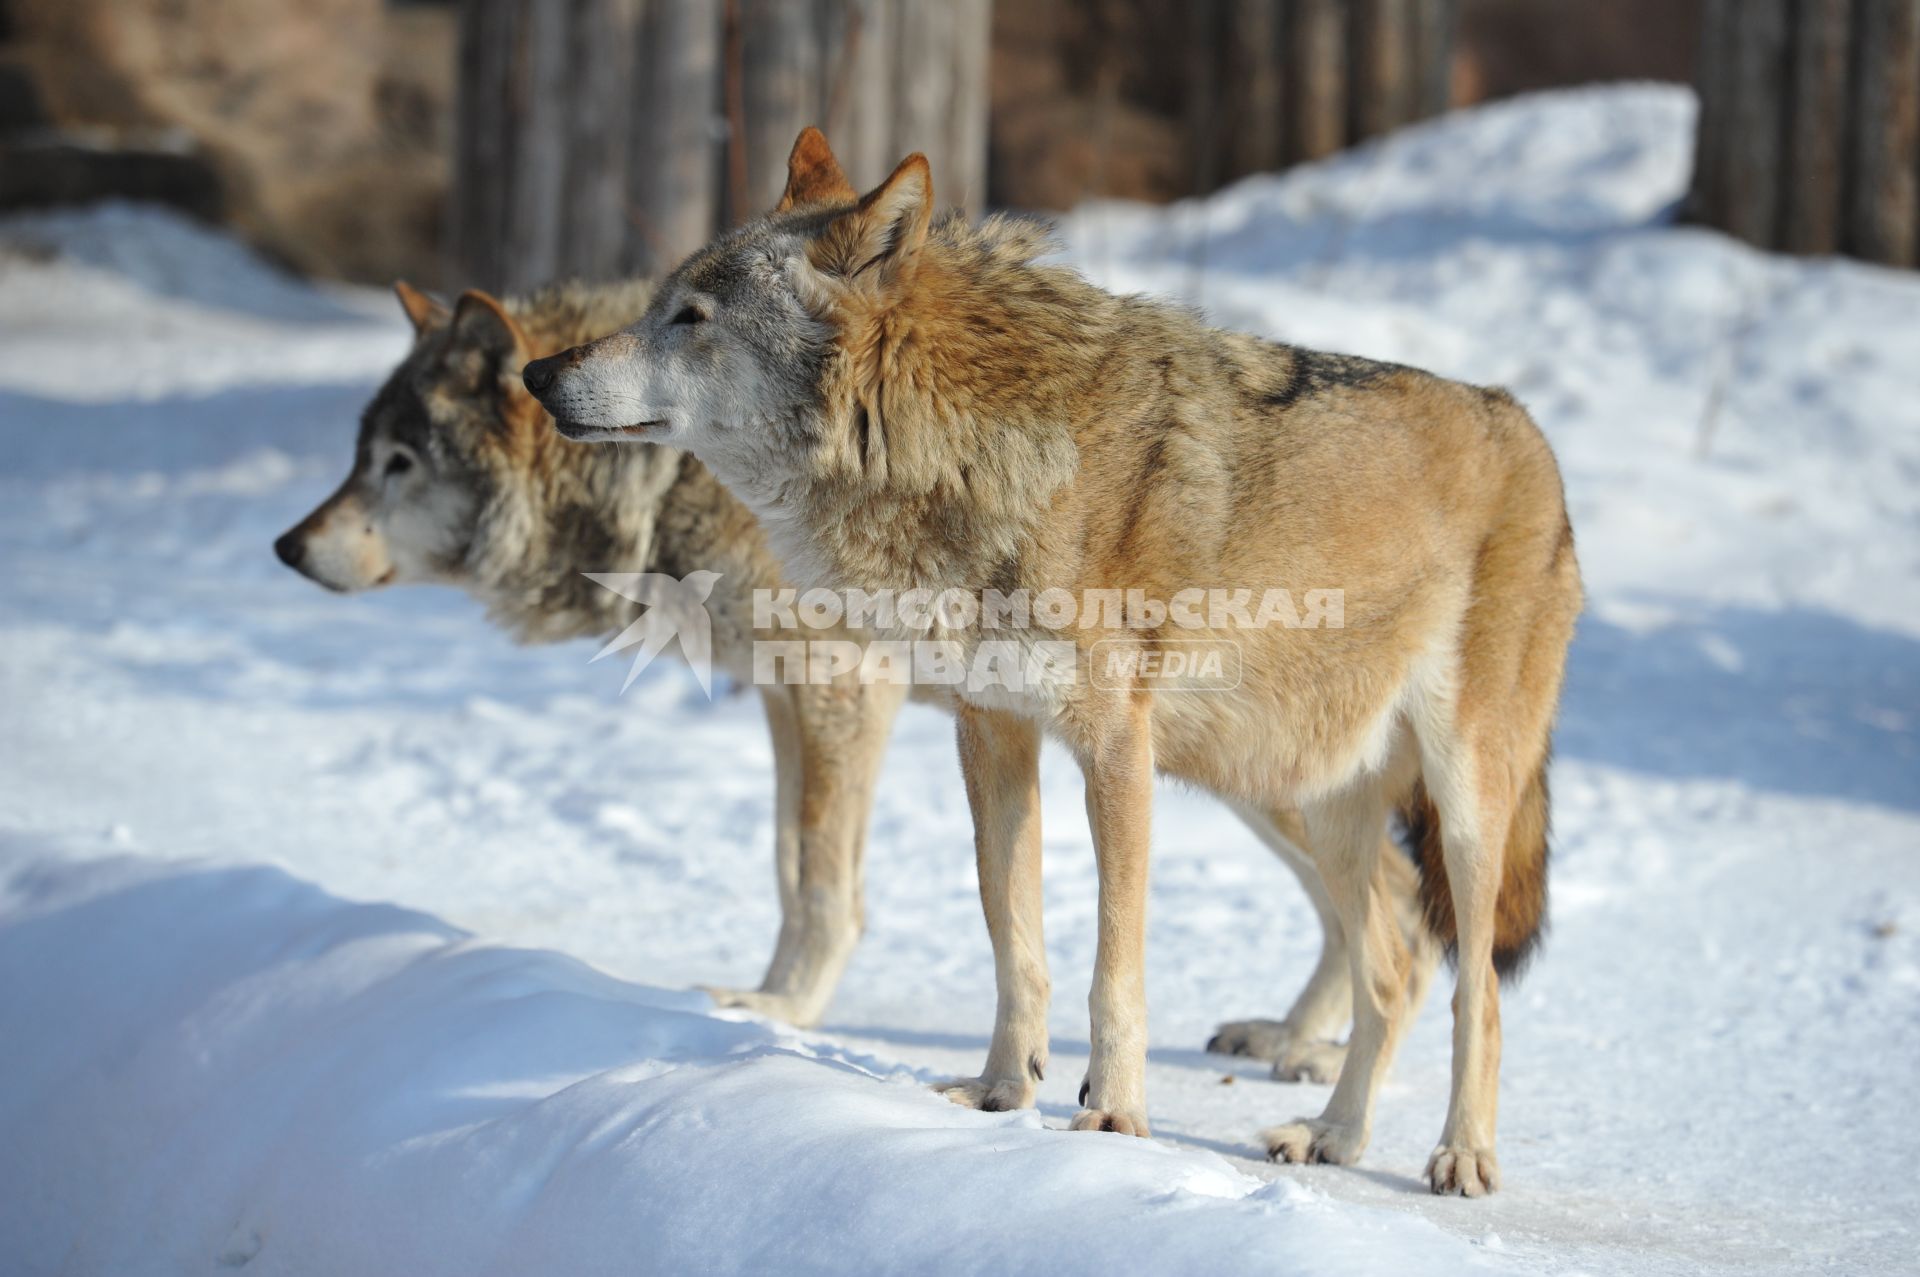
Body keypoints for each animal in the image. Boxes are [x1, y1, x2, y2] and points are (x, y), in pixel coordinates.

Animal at [278, 274, 1436, 1067]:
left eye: (398, 463)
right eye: (357, 457)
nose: (287, 547)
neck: (667, 477)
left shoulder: (842, 689)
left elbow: (826, 876)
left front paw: (786, 1009)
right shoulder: (782, 700)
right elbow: (790, 865)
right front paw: (758, 996)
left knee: (1398, 905)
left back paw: (1316, 1060)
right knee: (1377, 901)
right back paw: (1296, 1043)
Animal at [522, 131, 1574, 1198]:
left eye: (691, 319)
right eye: (657, 304)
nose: (536, 372)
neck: (962, 447)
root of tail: (1529, 429)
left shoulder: (1113, 749)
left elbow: (1115, 963)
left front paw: (1112, 1116)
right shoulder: (992, 733)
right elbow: (1012, 937)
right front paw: (999, 1094)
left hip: (1459, 806)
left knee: (1477, 989)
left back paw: (1462, 1153)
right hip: (1313, 796)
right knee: (1393, 970)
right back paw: (1332, 1134)